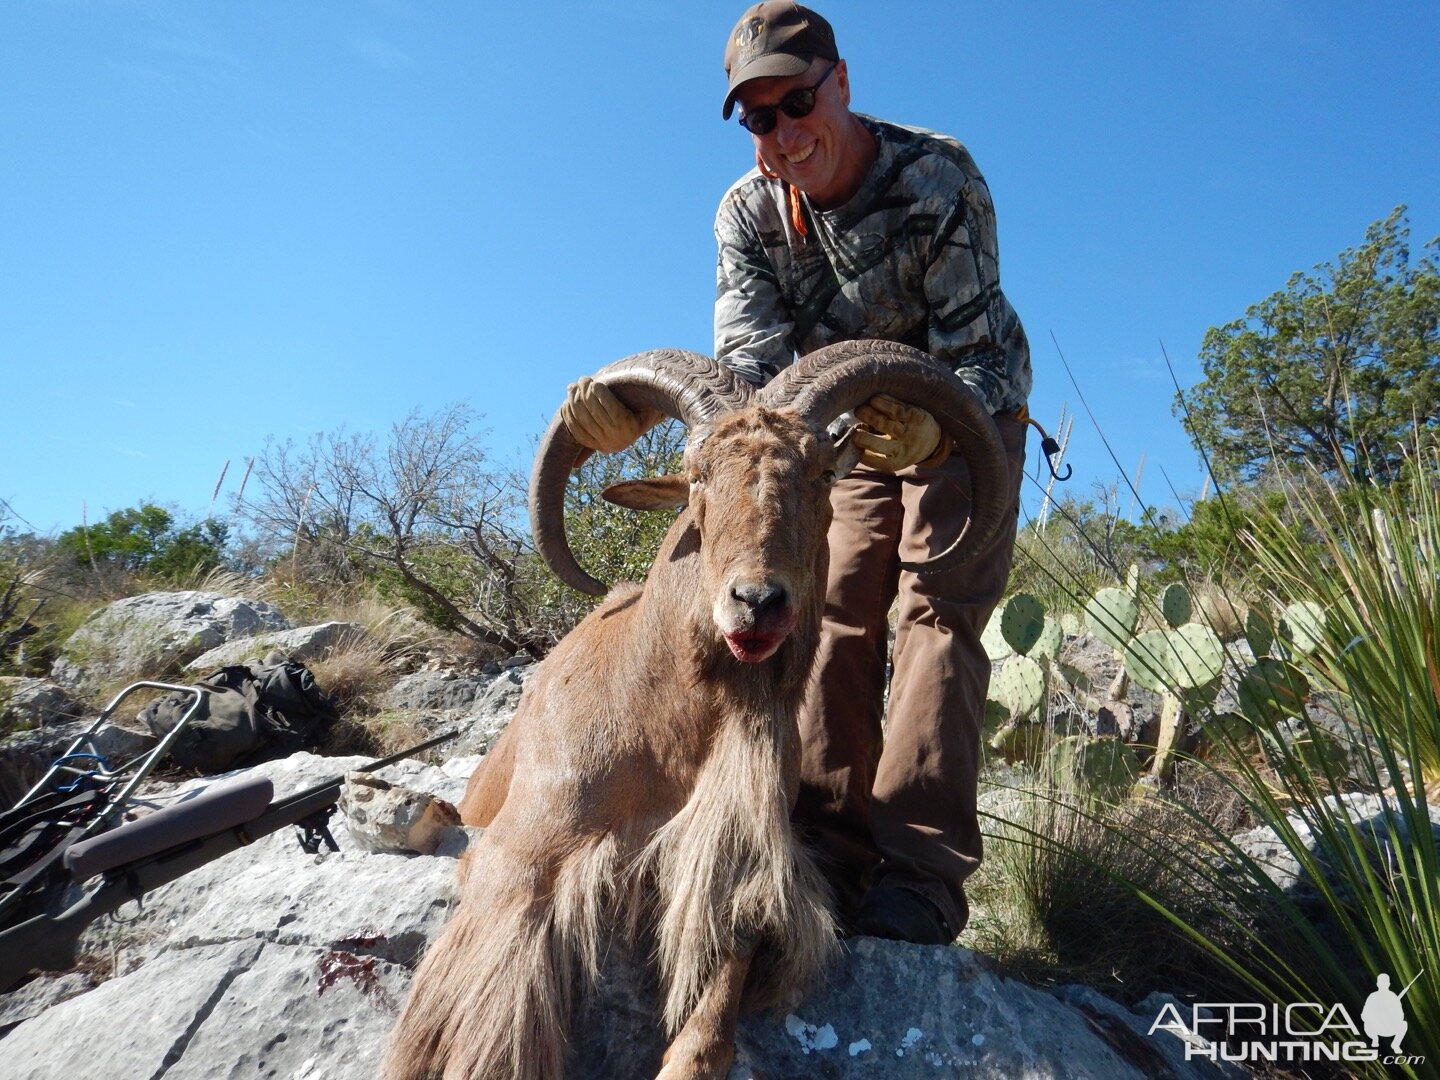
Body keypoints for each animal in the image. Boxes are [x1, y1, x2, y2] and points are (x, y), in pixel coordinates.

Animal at [383, 344, 1013, 1080]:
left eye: (823, 473)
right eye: (695, 476)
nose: (758, 602)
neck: (665, 724)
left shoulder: (733, 864)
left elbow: (715, 1007)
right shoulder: (521, 854)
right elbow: (486, 1024)